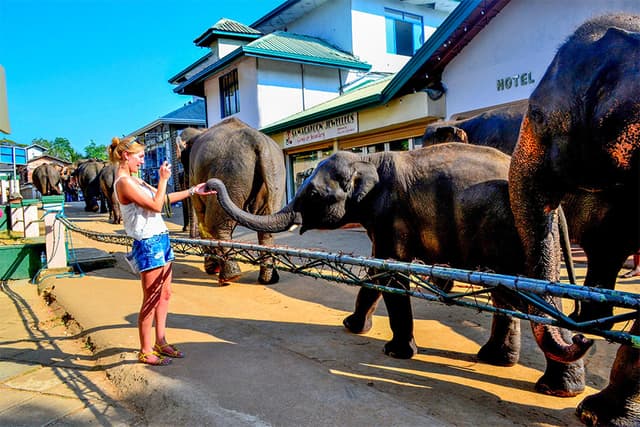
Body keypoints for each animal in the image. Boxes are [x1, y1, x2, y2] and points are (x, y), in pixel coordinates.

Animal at [186, 118, 284, 284]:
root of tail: (257, 140)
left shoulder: (194, 173)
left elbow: (201, 217)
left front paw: (211, 269)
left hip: (229, 173)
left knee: (214, 225)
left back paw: (229, 277)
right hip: (274, 175)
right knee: (266, 227)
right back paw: (268, 280)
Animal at [208, 144, 592, 398]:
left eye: (313, 194)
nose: (209, 184)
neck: (368, 160)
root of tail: (557, 207)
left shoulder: (390, 214)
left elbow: (391, 273)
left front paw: (396, 353)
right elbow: (375, 274)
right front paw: (352, 327)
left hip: (511, 231)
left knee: (527, 296)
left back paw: (557, 389)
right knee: (508, 293)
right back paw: (501, 362)